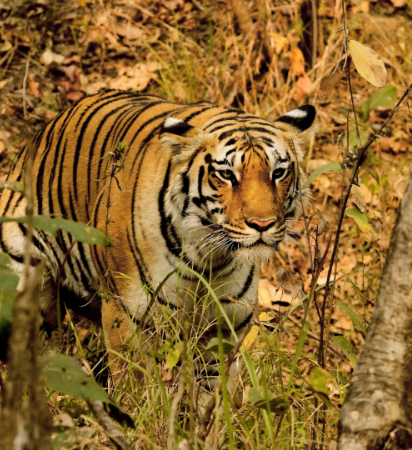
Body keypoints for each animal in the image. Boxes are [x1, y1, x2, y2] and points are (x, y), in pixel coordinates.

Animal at [0, 90, 316, 390]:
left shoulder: (226, 325)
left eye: (278, 172)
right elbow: (134, 384)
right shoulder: (125, 314)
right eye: (226, 174)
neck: (210, 259)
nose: (263, 224)